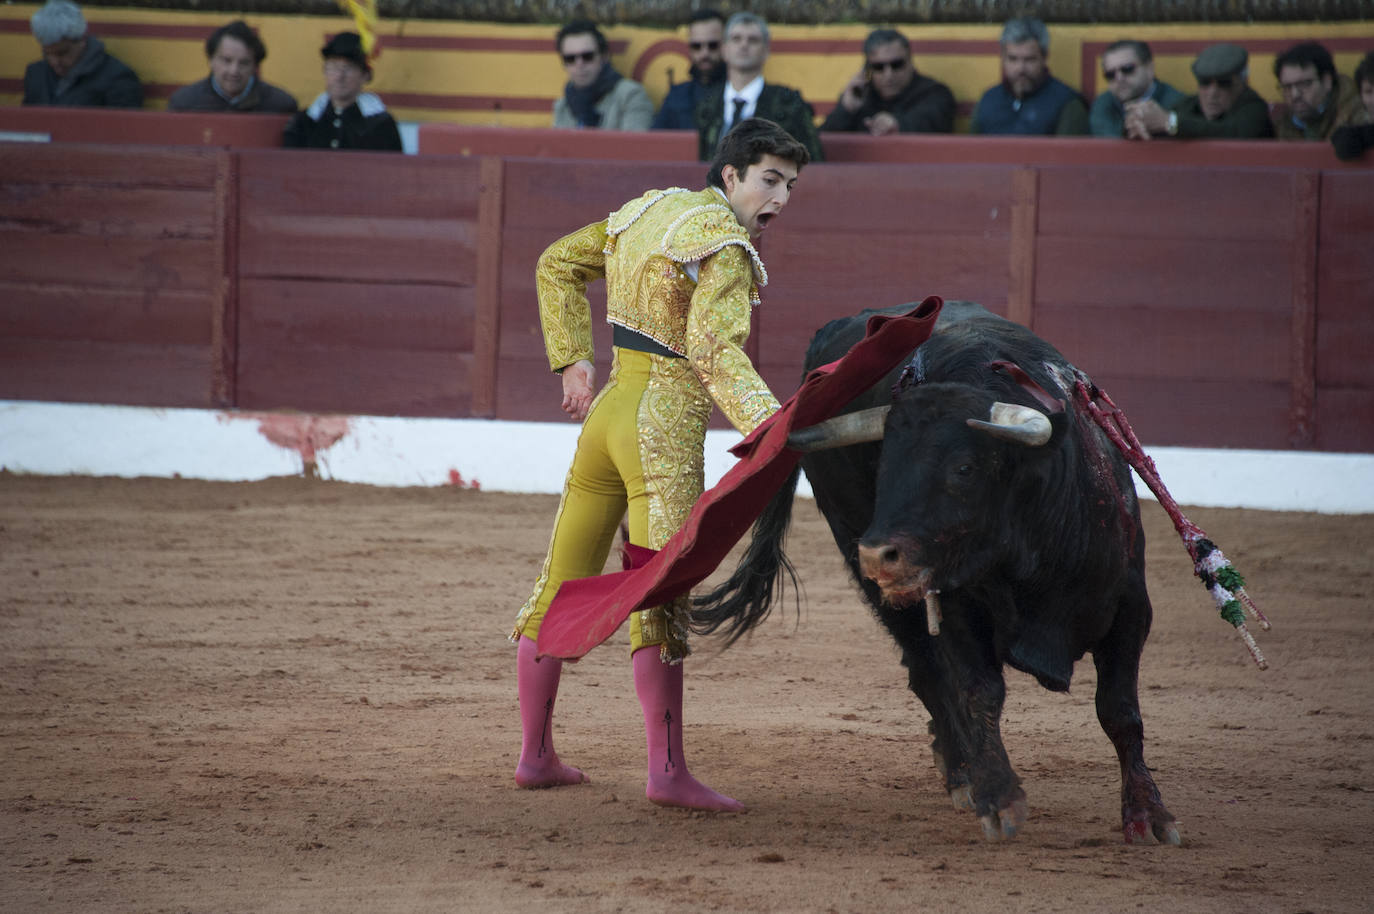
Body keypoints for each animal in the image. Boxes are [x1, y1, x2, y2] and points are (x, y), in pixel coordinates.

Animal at [697, 302, 1181, 846]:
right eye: (884, 467)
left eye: (964, 468)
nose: (877, 555)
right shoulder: (953, 601)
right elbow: (978, 691)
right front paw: (998, 797)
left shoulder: (1131, 605)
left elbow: (1119, 710)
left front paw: (1149, 814)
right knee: (927, 670)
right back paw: (963, 774)